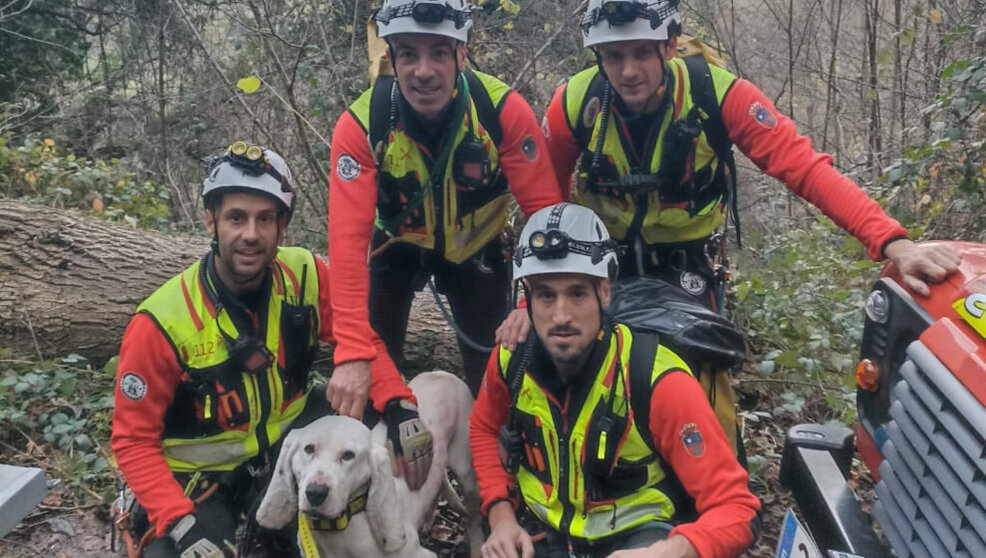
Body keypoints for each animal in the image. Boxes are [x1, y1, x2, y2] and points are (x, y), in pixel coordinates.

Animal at [256, 372, 482, 558]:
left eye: (349, 455)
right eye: (309, 449)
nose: (315, 493)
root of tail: (442, 373)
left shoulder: (423, 555)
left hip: (468, 475)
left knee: (474, 519)